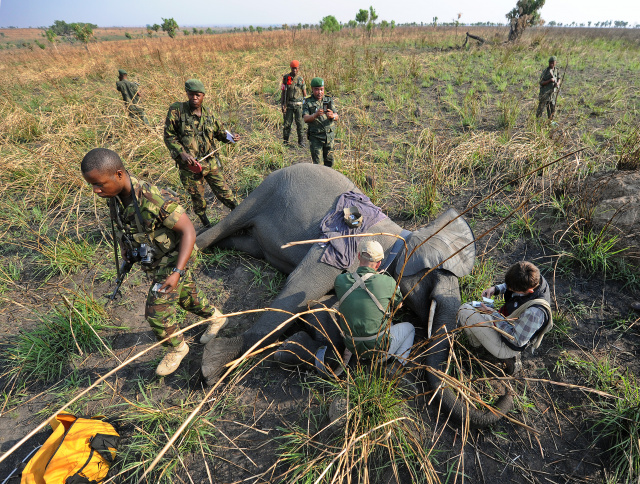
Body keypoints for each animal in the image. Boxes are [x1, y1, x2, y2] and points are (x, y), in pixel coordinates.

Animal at [198, 164, 512, 428]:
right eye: (433, 281)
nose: (502, 390)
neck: (402, 236)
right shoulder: (339, 247)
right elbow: (300, 288)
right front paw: (215, 365)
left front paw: (299, 343)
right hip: (266, 189)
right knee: (224, 226)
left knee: (244, 241)